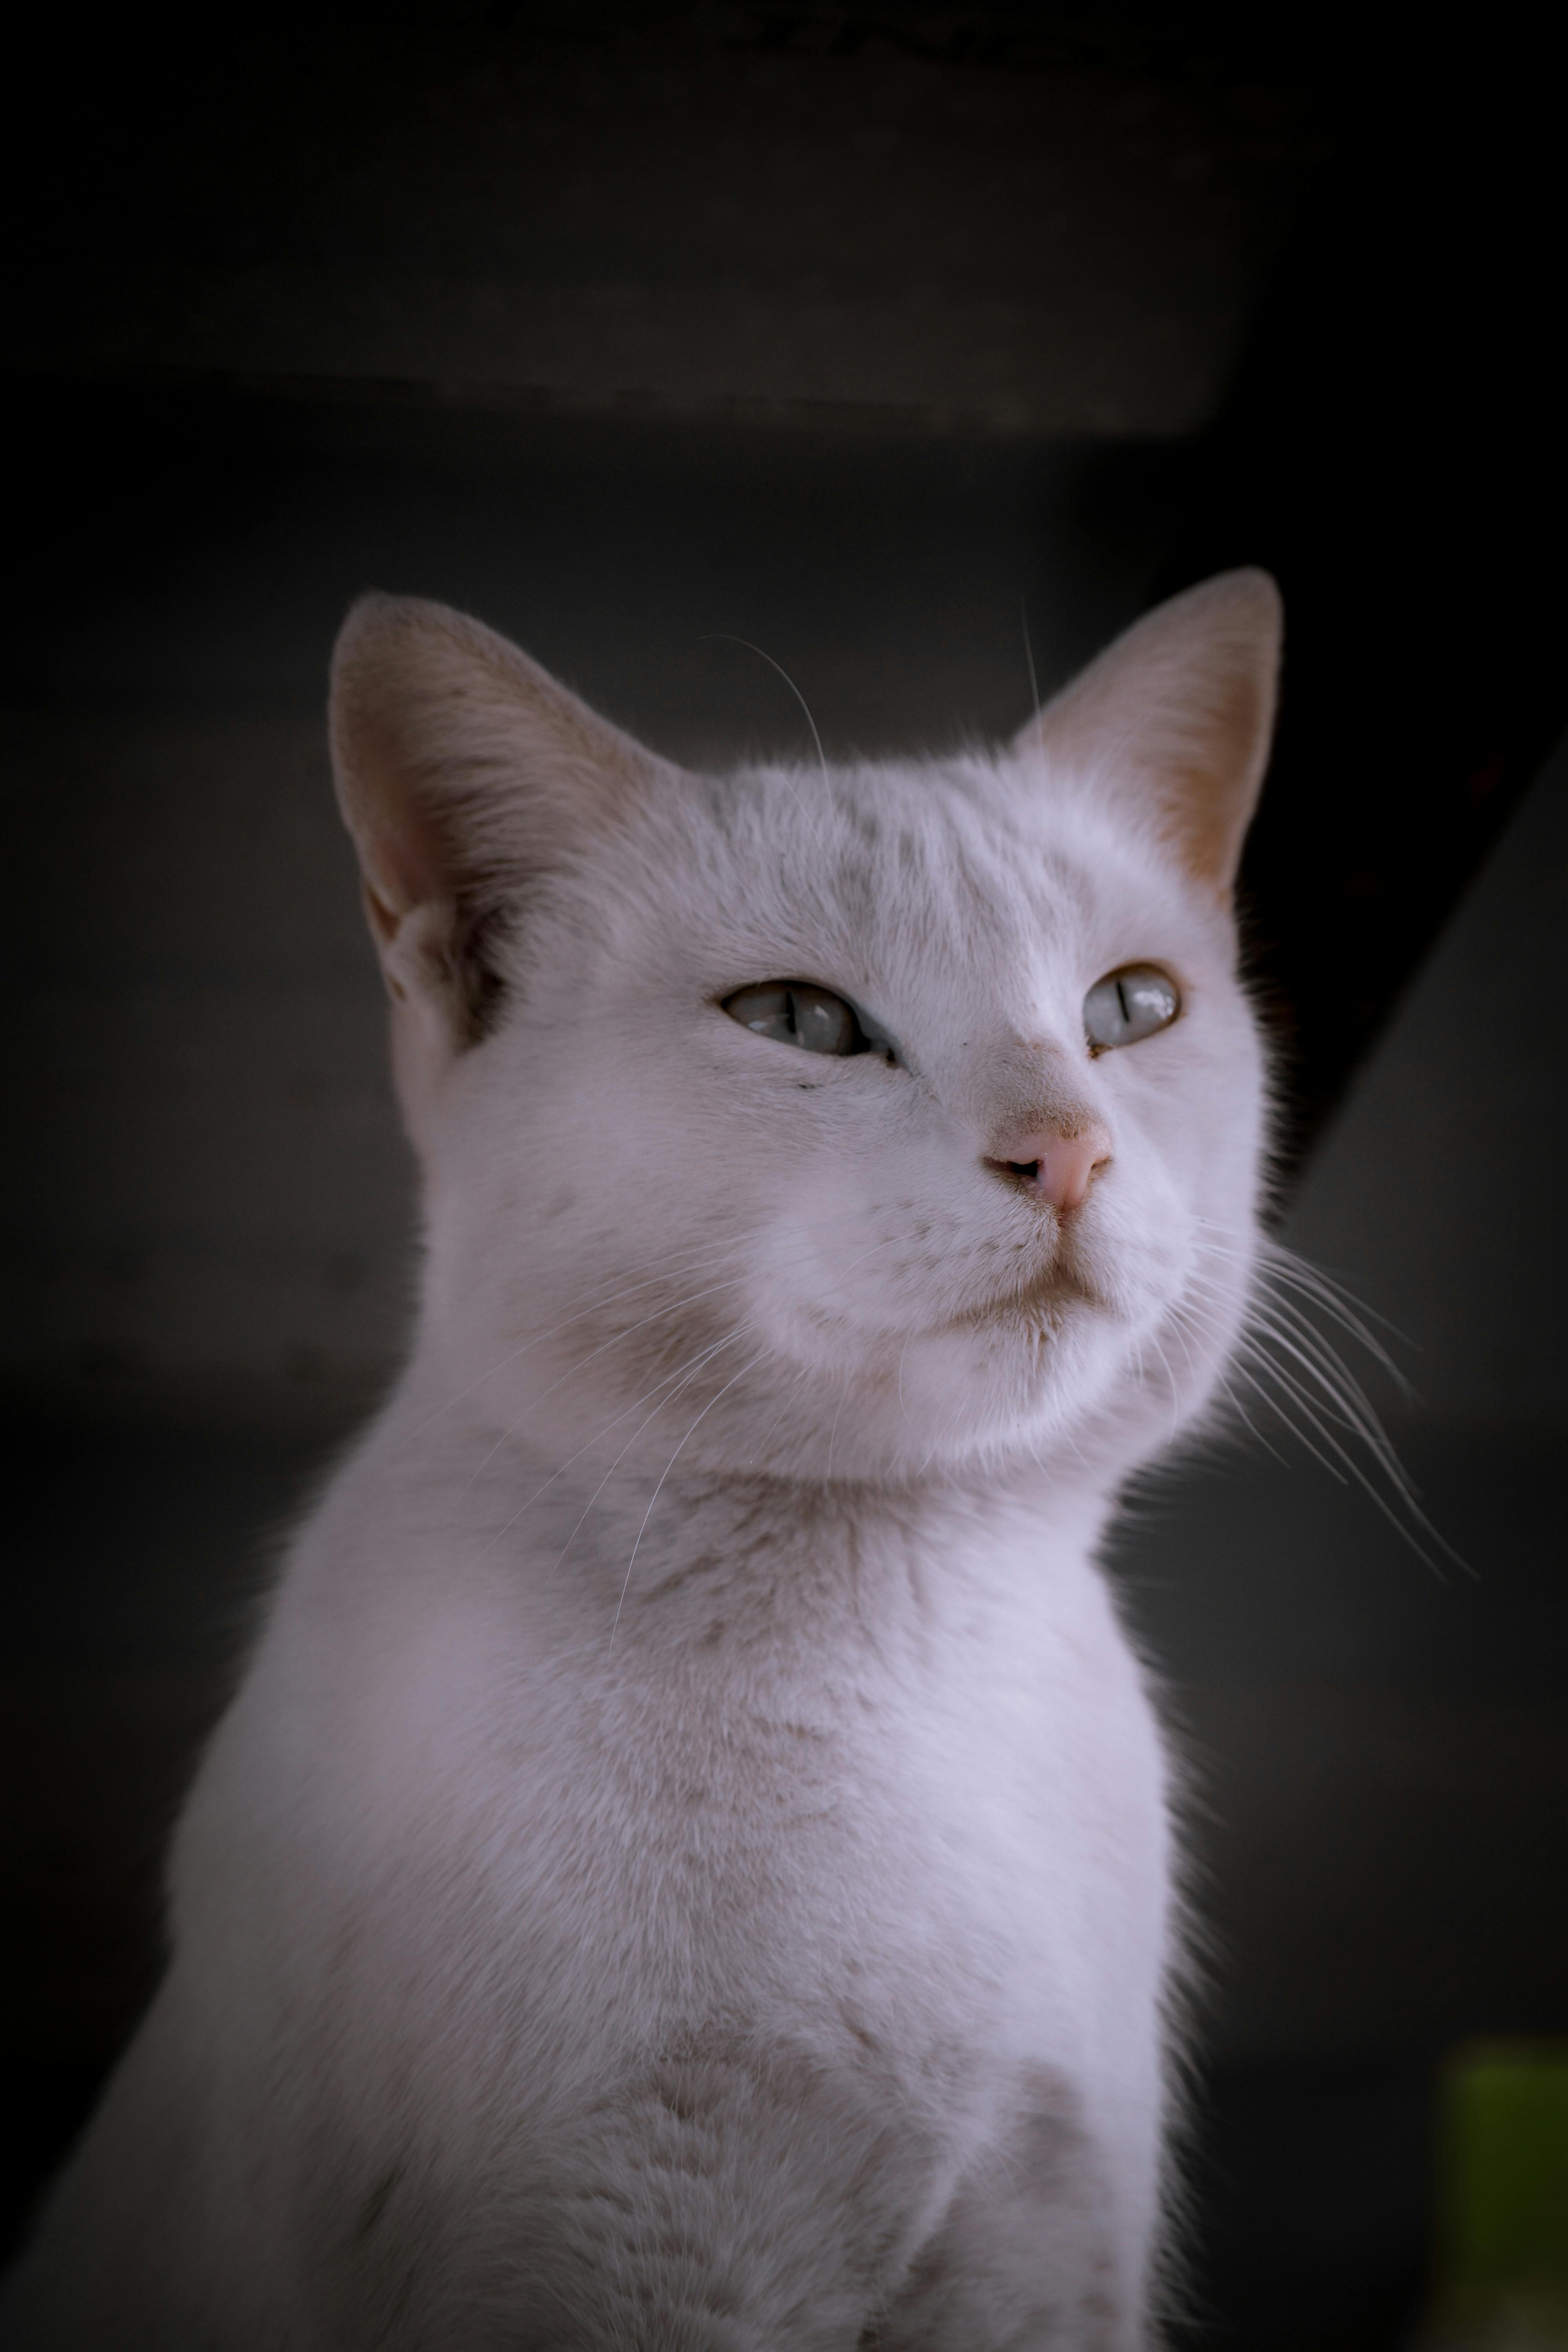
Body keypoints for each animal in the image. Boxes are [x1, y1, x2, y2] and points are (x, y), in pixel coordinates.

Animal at [6, 569, 1288, 2352]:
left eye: (1128, 1010)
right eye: (801, 1022)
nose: (1069, 1151)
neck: (890, 1642)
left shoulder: (1039, 2270)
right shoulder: (628, 2284)